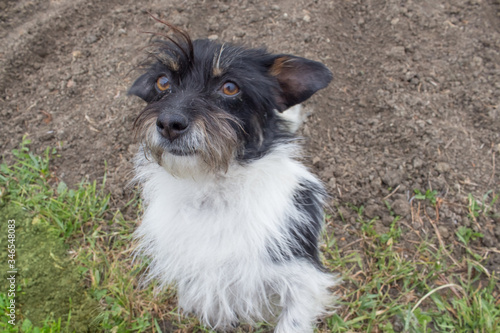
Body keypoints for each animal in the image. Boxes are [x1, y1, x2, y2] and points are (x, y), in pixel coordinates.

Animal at [129, 22, 340, 330]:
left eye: (230, 87)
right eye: (163, 82)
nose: (169, 123)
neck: (212, 191)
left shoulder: (302, 278)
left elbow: (293, 321)